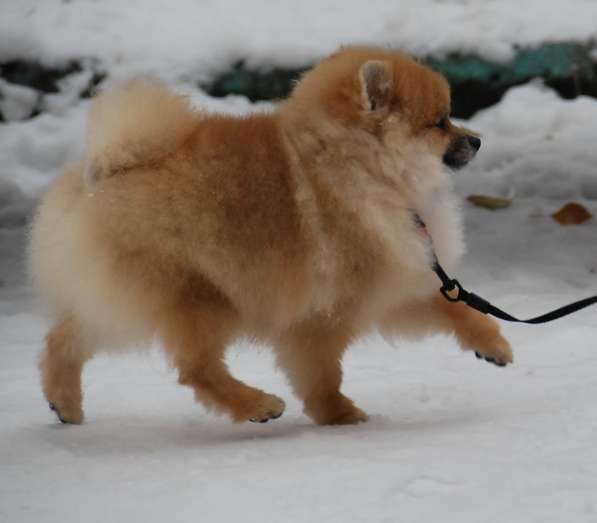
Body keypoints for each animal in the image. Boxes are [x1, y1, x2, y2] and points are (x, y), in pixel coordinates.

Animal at [29, 47, 512, 428]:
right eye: (440, 123)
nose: (477, 140)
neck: (362, 167)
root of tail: (105, 170)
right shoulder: (328, 309)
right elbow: (322, 372)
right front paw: (338, 414)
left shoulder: (394, 283)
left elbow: (453, 307)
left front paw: (494, 345)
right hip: (198, 296)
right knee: (195, 368)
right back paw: (257, 405)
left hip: (118, 296)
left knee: (65, 337)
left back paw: (64, 402)